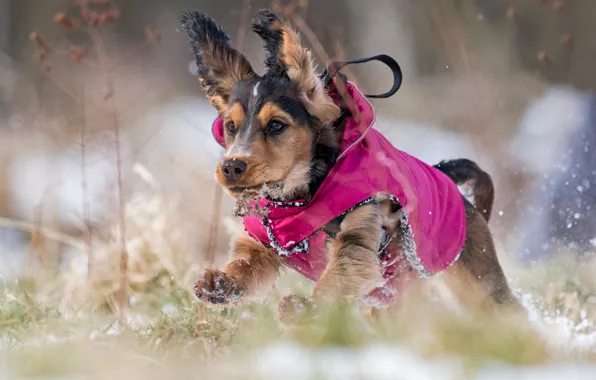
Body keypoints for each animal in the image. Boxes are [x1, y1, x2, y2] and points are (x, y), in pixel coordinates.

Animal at [179, 8, 524, 318]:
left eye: (276, 125)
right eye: (230, 126)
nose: (231, 167)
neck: (300, 197)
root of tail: (447, 178)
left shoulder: (360, 228)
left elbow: (341, 271)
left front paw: (307, 309)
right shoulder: (265, 240)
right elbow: (247, 264)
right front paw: (220, 283)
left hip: (477, 278)